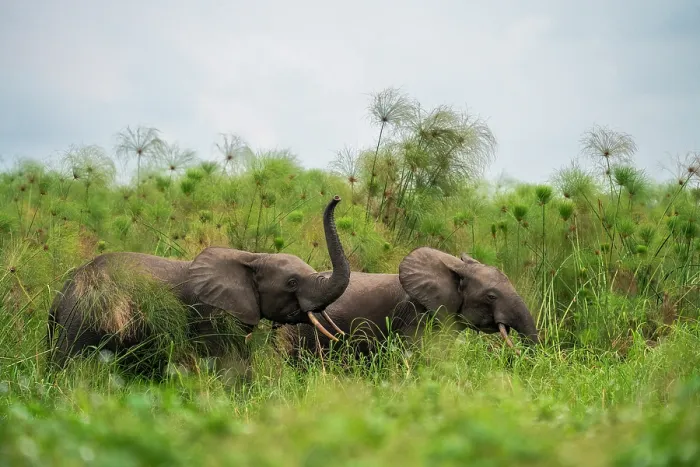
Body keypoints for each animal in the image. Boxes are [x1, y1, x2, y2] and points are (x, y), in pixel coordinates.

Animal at [46, 195, 350, 380]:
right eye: (292, 283)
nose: (337, 198)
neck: (251, 257)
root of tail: (62, 294)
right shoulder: (208, 313)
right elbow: (229, 362)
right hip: (83, 321)